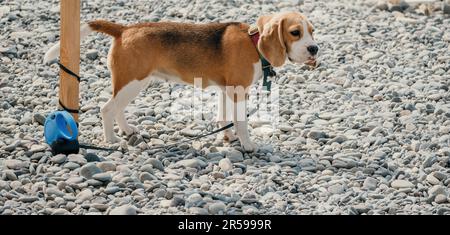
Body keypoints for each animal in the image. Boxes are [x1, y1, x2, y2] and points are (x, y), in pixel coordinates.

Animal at [44, 11, 318, 152]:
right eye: (295, 33)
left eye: (312, 31)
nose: (314, 48)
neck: (254, 42)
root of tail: (124, 29)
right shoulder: (239, 91)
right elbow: (241, 122)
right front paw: (248, 144)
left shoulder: (226, 90)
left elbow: (224, 117)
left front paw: (227, 137)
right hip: (133, 81)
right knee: (107, 108)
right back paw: (111, 140)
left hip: (134, 83)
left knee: (117, 107)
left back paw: (127, 130)